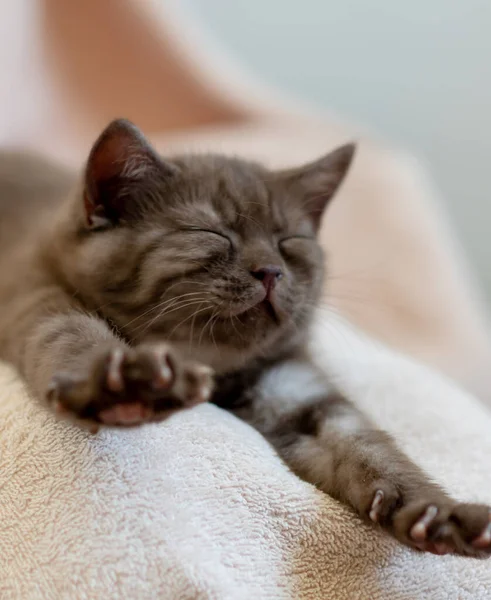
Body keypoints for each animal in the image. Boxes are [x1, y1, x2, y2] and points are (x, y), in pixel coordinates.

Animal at [0, 118, 491, 556]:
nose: (270, 271)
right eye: (212, 233)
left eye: (289, 242)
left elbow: (365, 445)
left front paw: (436, 514)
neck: (213, 364)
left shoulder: (294, 387)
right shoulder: (39, 295)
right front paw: (123, 384)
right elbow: (72, 338)